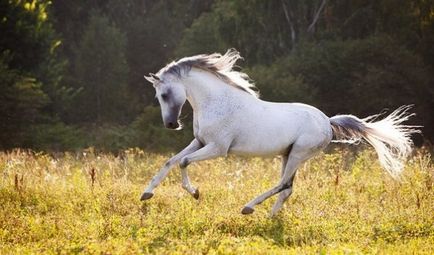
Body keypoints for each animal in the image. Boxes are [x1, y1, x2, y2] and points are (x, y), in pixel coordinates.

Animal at [141, 48, 418, 216]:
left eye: (164, 95)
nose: (171, 125)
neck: (218, 102)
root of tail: (327, 121)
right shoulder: (199, 142)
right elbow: (171, 161)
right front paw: (146, 194)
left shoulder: (218, 149)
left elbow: (184, 162)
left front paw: (196, 193)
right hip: (288, 155)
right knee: (287, 188)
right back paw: (271, 217)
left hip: (298, 154)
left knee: (283, 184)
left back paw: (249, 208)